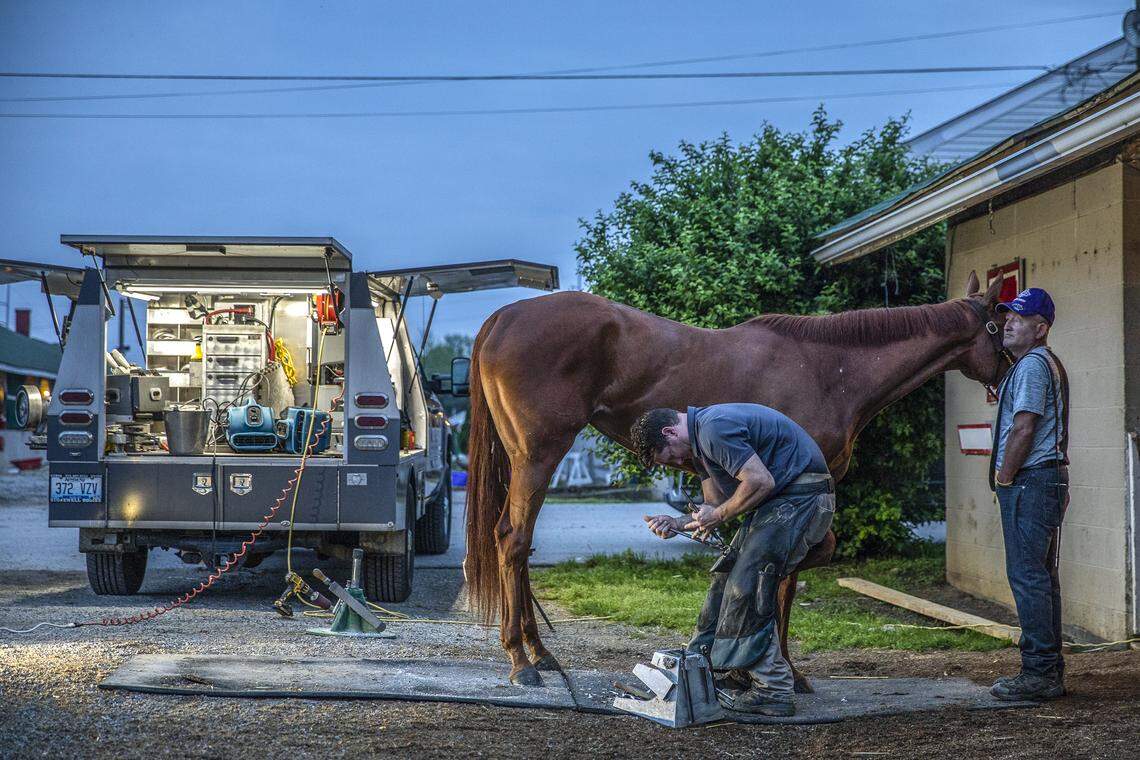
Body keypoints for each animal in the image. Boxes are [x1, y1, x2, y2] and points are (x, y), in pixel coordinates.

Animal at [464, 270, 1009, 689]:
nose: (1008, 372)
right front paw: (779, 668)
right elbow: (786, 572)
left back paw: (539, 652)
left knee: (516, 543)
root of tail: (501, 318)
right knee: (513, 541)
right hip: (538, 455)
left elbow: (780, 567)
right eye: (1000, 322)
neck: (829, 369)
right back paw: (521, 660)